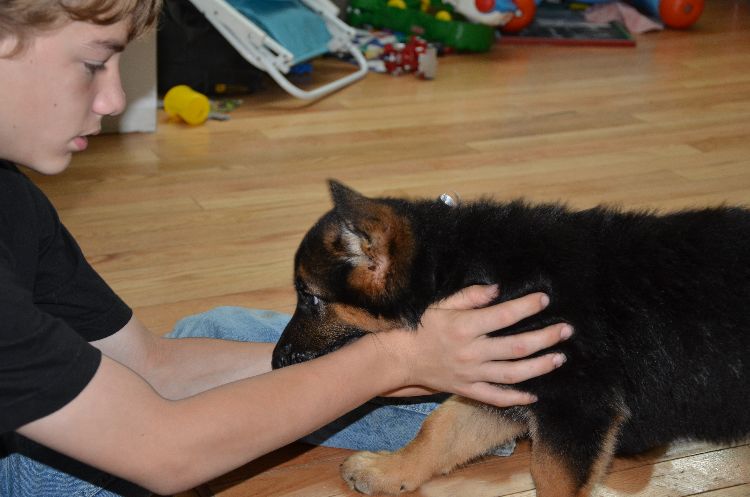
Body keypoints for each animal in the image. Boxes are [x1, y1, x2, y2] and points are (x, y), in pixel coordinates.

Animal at [272, 180, 750, 494]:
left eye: (310, 298)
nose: (276, 362)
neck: (458, 269)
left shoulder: (575, 409)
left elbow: (552, 478)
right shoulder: (501, 383)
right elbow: (440, 428)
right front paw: (391, 472)